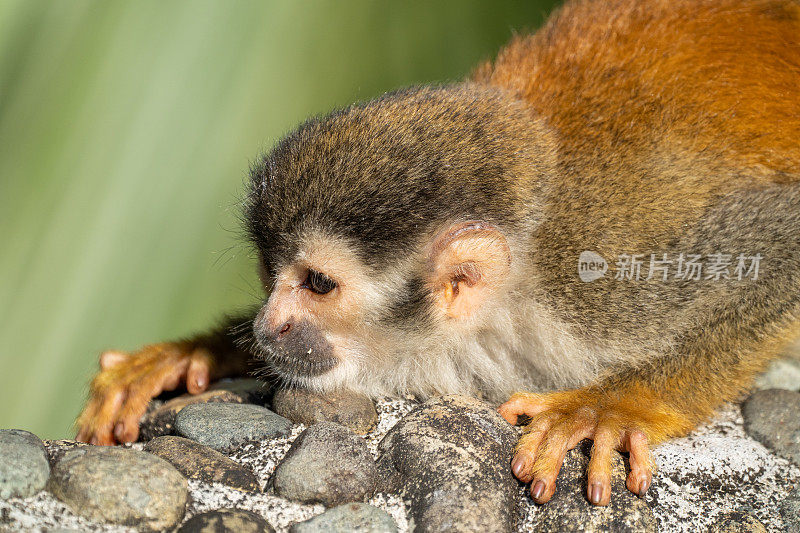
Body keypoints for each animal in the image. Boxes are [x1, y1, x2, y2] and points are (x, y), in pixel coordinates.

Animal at [76, 0, 800, 508]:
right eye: (269, 275)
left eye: (316, 284)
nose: (267, 326)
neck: (512, 299)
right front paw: (194, 352)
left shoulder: (603, 279)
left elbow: (779, 252)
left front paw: (615, 406)